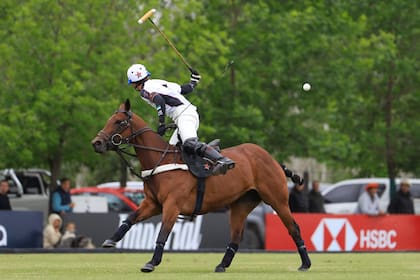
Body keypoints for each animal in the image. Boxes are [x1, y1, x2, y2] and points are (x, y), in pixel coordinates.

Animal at [92, 99, 310, 272]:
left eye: (118, 122)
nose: (96, 143)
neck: (160, 160)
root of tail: (272, 159)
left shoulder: (172, 205)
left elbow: (163, 233)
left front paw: (152, 263)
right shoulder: (153, 204)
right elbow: (130, 218)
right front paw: (111, 240)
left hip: (277, 199)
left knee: (294, 228)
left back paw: (305, 264)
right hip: (241, 204)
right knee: (236, 236)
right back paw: (222, 265)